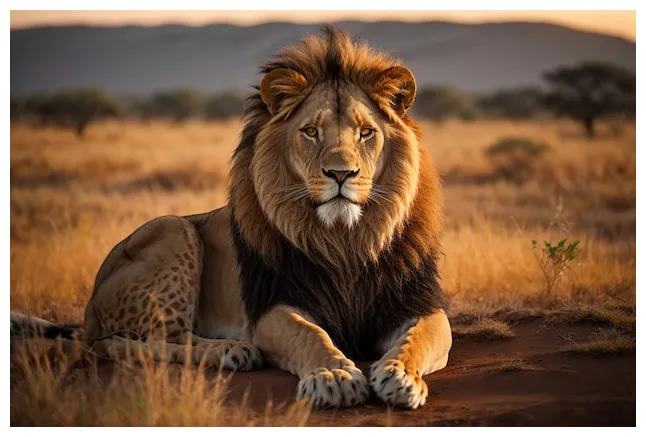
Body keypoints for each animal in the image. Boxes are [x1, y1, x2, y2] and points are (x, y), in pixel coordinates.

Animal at [10, 26, 452, 410]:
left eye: (365, 133)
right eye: (310, 132)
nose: (341, 174)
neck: (347, 240)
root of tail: (89, 306)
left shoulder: (416, 302)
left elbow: (420, 337)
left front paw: (400, 375)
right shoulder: (274, 304)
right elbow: (310, 335)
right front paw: (334, 376)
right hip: (173, 228)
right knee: (122, 342)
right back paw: (231, 351)